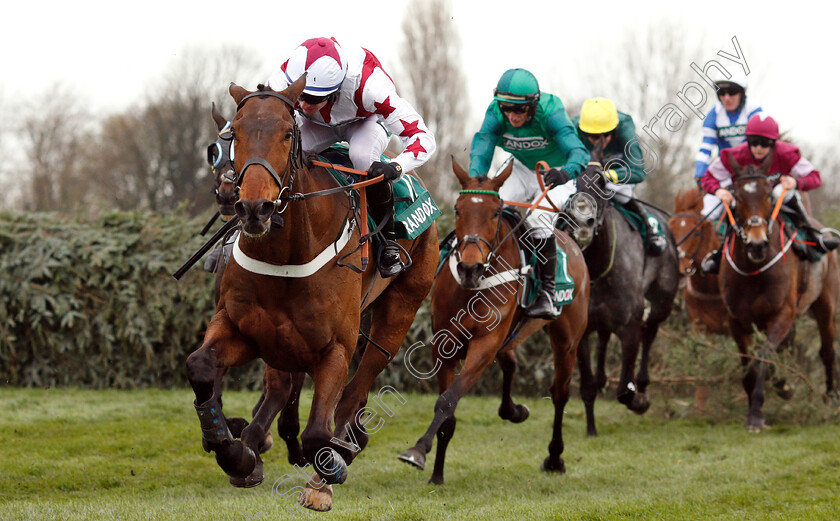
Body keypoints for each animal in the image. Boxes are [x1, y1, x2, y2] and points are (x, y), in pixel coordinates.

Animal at [185, 75, 440, 510]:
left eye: (288, 133)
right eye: (231, 137)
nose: (252, 207)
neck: (285, 253)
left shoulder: (334, 346)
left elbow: (319, 430)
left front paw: (326, 467)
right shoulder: (246, 330)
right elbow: (202, 367)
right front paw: (236, 452)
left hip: (399, 313)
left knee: (355, 390)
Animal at [398, 158, 588, 484]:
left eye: (496, 212)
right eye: (458, 209)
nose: (469, 268)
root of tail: (572, 244)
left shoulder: (484, 345)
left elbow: (448, 400)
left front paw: (418, 451)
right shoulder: (445, 345)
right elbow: (447, 411)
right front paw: (437, 474)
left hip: (567, 341)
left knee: (560, 394)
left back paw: (554, 458)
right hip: (513, 334)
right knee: (511, 362)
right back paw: (513, 411)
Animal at [560, 158, 680, 434]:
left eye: (601, 184)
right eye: (570, 184)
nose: (582, 223)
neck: (597, 268)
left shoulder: (629, 327)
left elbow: (625, 390)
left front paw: (638, 399)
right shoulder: (581, 331)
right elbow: (587, 386)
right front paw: (591, 429)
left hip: (662, 302)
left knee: (650, 332)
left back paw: (643, 385)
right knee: (604, 338)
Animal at [716, 158, 840, 430]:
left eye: (767, 195)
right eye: (736, 197)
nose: (757, 244)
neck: (753, 272)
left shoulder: (781, 314)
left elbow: (764, 357)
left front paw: (756, 413)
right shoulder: (736, 321)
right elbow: (749, 363)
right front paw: (764, 394)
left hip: (825, 306)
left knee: (827, 352)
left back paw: (832, 397)